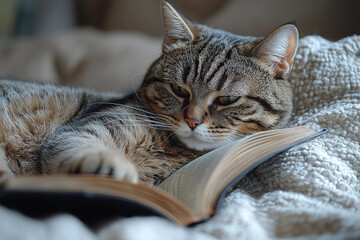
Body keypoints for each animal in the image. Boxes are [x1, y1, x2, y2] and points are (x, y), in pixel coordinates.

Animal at [0, 0, 298, 186]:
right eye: (179, 90)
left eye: (227, 99)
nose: (192, 122)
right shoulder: (80, 130)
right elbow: (82, 146)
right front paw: (113, 166)